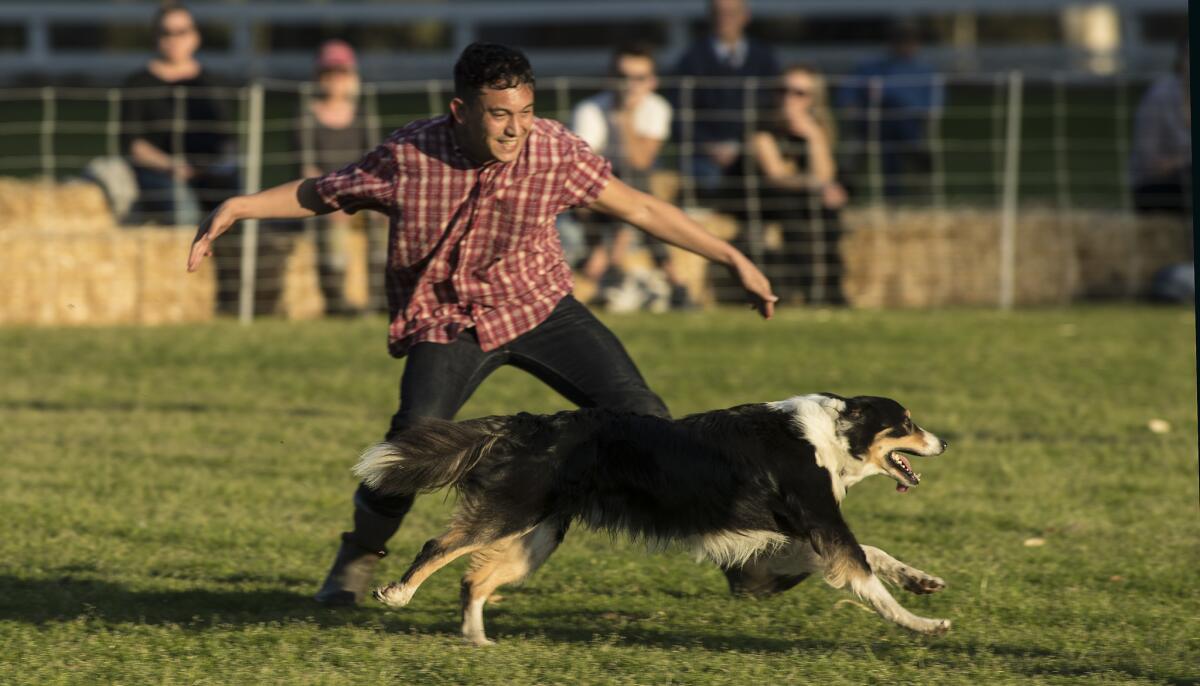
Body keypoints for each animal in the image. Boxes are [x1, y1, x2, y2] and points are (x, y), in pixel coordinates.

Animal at [350, 393, 950, 647]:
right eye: (906, 423)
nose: (944, 442)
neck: (833, 432)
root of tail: (531, 422)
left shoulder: (786, 535)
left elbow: (875, 556)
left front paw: (921, 580)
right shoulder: (819, 525)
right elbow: (868, 581)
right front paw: (924, 625)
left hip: (536, 536)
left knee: (474, 579)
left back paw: (478, 642)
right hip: (510, 512)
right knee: (437, 546)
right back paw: (397, 594)